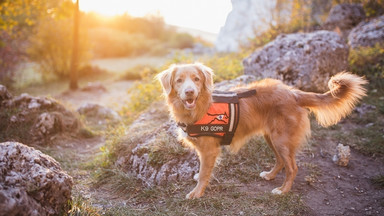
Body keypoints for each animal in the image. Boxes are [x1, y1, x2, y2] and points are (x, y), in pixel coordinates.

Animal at [156, 62, 366, 199]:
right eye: (179, 80)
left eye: (196, 79)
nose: (189, 92)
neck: (199, 108)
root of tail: (293, 93)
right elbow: (202, 171)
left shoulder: (209, 150)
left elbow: (204, 174)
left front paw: (196, 193)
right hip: (271, 137)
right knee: (281, 161)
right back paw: (270, 176)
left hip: (280, 139)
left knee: (292, 167)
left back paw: (282, 190)